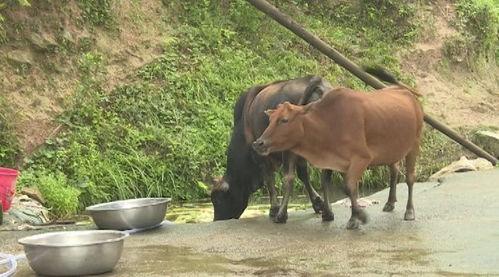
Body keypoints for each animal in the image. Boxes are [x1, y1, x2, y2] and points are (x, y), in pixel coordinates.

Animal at [211, 75, 332, 222]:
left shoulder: (260, 155)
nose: (217, 220)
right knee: (325, 175)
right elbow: (303, 175)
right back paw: (328, 213)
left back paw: (281, 215)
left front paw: (274, 209)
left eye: (217, 200)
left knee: (289, 178)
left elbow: (269, 178)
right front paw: (318, 203)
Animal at [254, 68, 426, 229]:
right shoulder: (342, 162)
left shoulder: (361, 158)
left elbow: (349, 187)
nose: (259, 143)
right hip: (392, 150)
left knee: (410, 178)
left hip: (414, 145)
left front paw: (358, 217)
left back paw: (409, 211)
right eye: (270, 120)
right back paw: (390, 203)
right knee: (394, 170)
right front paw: (355, 216)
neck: (330, 122)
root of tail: (405, 92)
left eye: (284, 120)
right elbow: (349, 189)